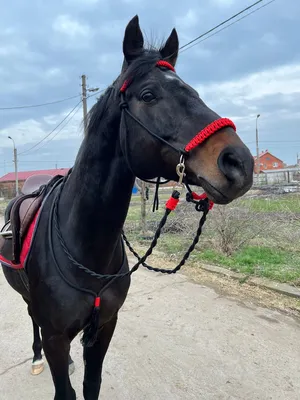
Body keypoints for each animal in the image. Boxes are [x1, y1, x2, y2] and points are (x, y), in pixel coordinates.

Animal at [0, 15, 253, 400]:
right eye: (149, 95)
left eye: (194, 91)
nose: (239, 163)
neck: (86, 247)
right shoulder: (56, 336)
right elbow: (65, 389)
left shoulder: (105, 326)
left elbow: (91, 384)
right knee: (31, 318)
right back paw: (35, 357)